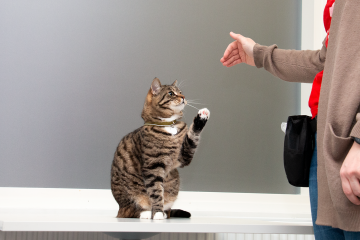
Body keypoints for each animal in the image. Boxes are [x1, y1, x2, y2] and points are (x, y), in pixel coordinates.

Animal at [111, 78, 210, 220]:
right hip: (129, 200)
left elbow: (192, 136)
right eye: (171, 93)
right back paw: (148, 213)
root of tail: (119, 208)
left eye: (180, 92)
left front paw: (202, 117)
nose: (183, 97)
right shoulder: (153, 167)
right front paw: (157, 212)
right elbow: (156, 191)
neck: (168, 125)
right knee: (130, 211)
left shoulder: (183, 157)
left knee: (167, 211)